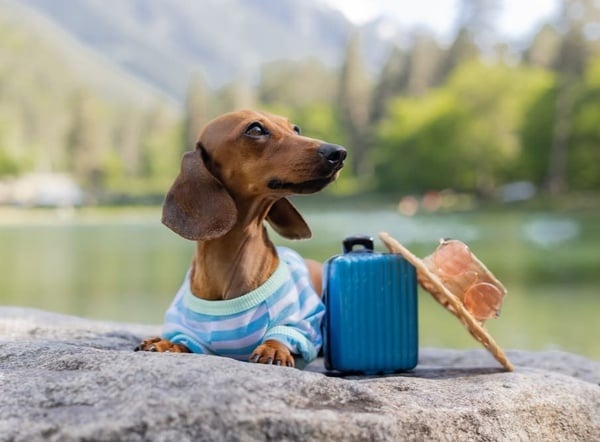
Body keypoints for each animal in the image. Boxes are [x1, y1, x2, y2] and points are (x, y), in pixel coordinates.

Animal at [134, 109, 344, 366]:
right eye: (255, 129)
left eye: (295, 129)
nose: (338, 152)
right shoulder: (190, 330)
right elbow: (184, 340)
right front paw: (168, 343)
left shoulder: (302, 323)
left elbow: (283, 333)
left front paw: (274, 349)